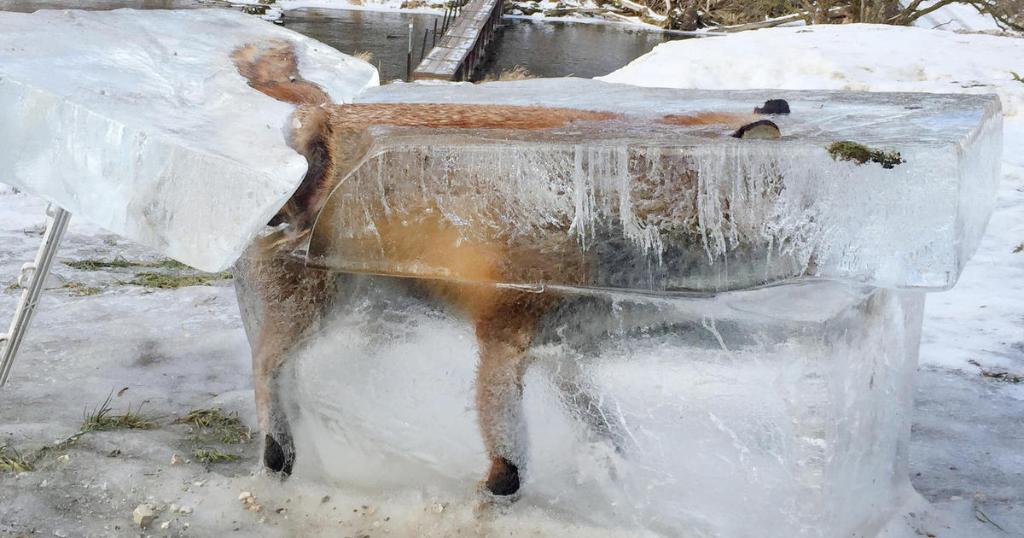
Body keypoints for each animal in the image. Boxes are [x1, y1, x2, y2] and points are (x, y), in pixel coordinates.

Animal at [230, 40, 785, 498]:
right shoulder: (504, 330)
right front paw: (497, 492)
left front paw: (609, 465)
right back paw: (278, 451)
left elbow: (600, 422)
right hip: (315, 304)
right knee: (266, 365)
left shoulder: (566, 346)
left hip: (372, 311)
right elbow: (510, 455)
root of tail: (325, 113)